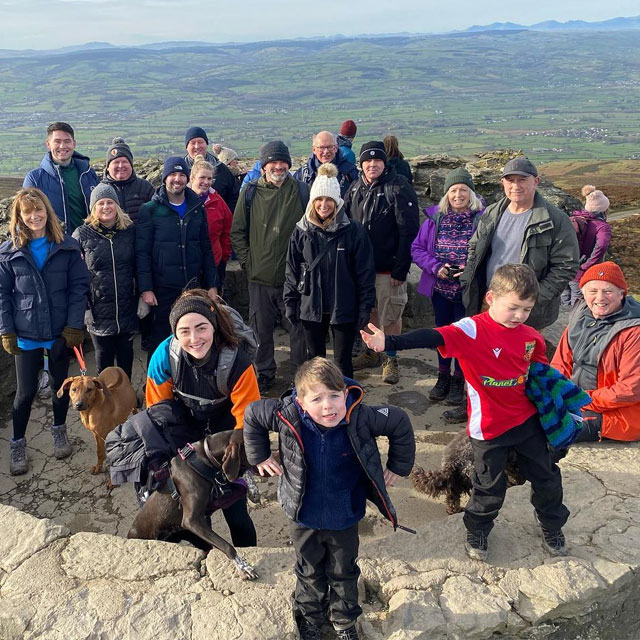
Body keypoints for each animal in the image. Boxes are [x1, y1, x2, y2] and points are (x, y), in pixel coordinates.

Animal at [127, 430, 260, 580]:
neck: (205, 457)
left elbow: (242, 476)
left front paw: (253, 489)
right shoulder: (191, 520)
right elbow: (226, 545)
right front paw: (244, 567)